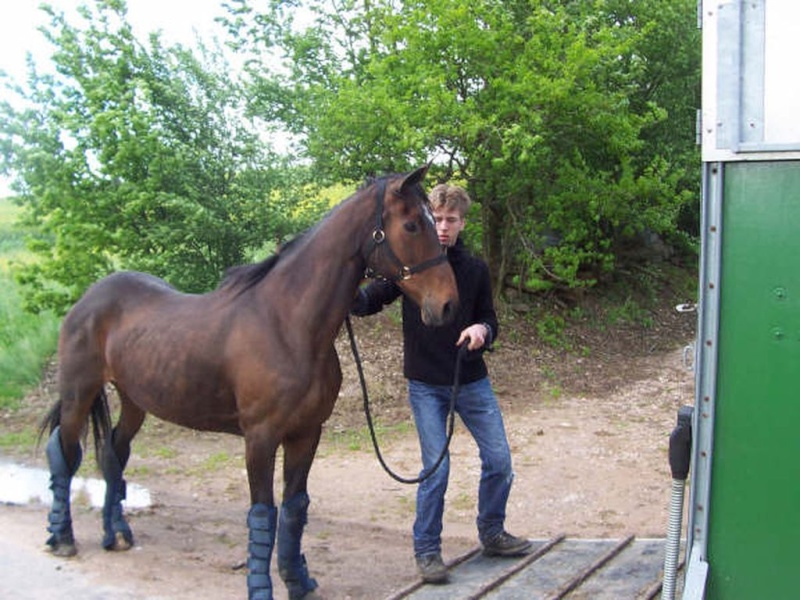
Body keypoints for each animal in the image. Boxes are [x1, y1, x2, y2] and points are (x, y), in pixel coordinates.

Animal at [40, 165, 460, 600]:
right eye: (412, 225)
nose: (447, 305)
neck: (287, 324)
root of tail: (88, 299)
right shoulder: (260, 437)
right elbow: (263, 512)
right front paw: (261, 587)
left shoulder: (306, 433)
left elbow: (294, 507)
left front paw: (298, 580)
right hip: (78, 394)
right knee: (65, 453)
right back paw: (62, 536)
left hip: (134, 399)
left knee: (113, 453)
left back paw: (116, 533)